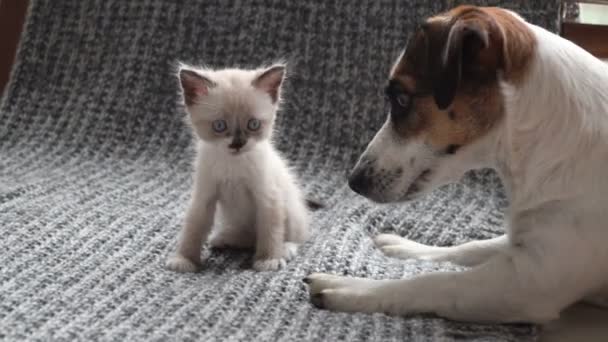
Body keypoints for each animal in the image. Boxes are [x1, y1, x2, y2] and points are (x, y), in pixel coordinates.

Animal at [165, 62, 312, 272]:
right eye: (219, 126)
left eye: (253, 124)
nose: (237, 144)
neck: (232, 165)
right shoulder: (204, 196)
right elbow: (193, 228)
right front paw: (184, 259)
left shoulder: (268, 198)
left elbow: (271, 231)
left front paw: (268, 260)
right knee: (248, 239)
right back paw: (223, 239)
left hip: (290, 210)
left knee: (294, 237)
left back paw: (285, 249)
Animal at [304, 6, 608, 326]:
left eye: (401, 99)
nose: (354, 181)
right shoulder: (521, 243)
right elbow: (471, 247)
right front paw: (406, 247)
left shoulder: (529, 281)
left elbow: (432, 282)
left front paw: (350, 287)